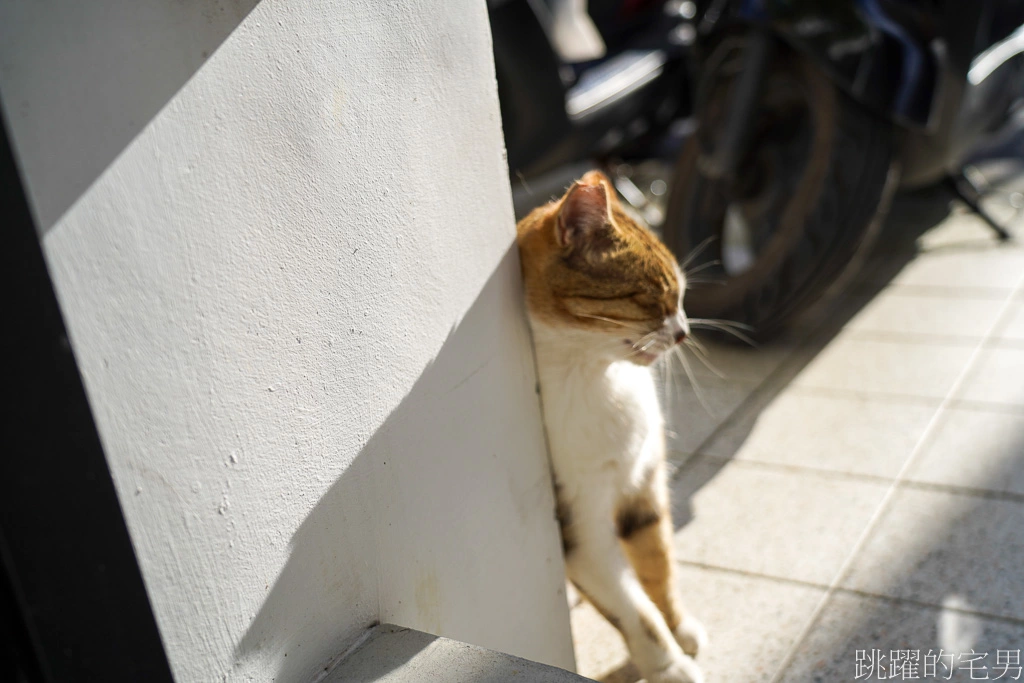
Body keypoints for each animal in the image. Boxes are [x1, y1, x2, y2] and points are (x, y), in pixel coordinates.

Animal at [516, 171, 708, 683]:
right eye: (653, 296)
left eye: (683, 295)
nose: (683, 331)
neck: (594, 374)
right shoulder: (579, 529)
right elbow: (635, 613)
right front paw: (670, 667)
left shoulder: (644, 485)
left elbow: (658, 564)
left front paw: (680, 626)